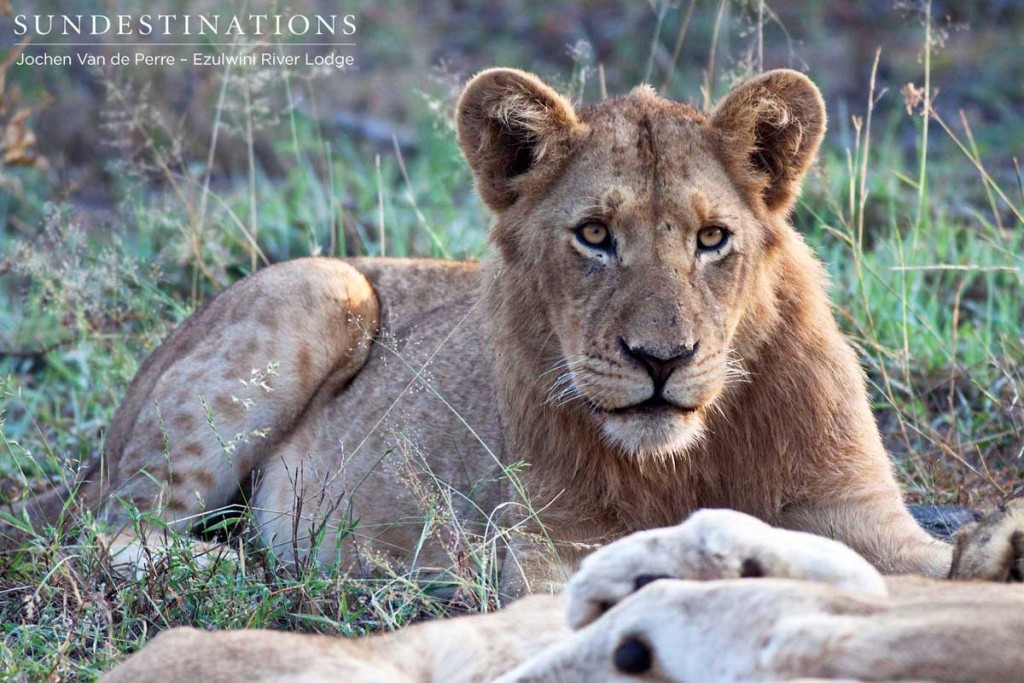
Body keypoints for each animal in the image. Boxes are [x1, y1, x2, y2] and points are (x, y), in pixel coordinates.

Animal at [2, 66, 999, 593]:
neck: (686, 454)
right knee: (114, 533)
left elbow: (929, 561)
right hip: (322, 286)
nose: (662, 359)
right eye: (594, 235)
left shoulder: (854, 510)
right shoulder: (540, 541)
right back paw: (277, 568)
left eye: (714, 238)